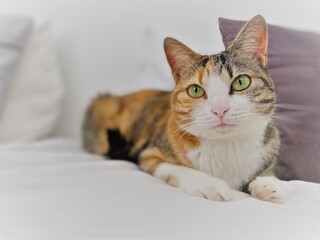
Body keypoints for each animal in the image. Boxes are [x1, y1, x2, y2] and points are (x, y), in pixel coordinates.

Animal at [82, 15, 288, 202]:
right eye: (195, 90)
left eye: (240, 82)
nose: (220, 110)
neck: (227, 145)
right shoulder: (150, 154)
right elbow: (176, 169)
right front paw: (210, 183)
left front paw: (271, 184)